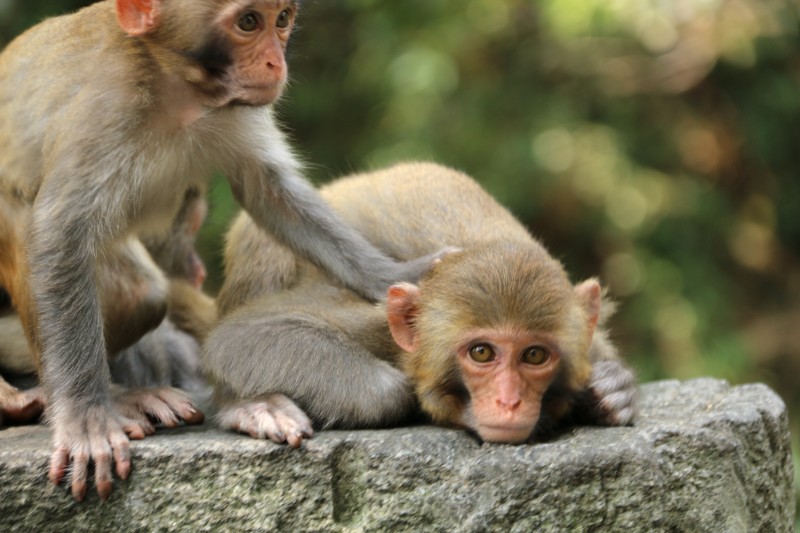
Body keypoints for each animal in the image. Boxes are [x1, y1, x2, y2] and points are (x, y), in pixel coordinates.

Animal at [0, 0, 444, 500]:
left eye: (282, 19)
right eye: (248, 22)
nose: (276, 63)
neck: (177, 86)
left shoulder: (233, 108)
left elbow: (270, 193)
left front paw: (395, 276)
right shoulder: (106, 108)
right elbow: (59, 229)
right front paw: (84, 417)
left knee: (142, 297)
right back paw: (113, 398)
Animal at [205, 162, 636, 444]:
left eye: (534, 355)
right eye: (482, 353)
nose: (509, 401)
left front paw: (613, 388)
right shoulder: (381, 321)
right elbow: (241, 336)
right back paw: (252, 407)